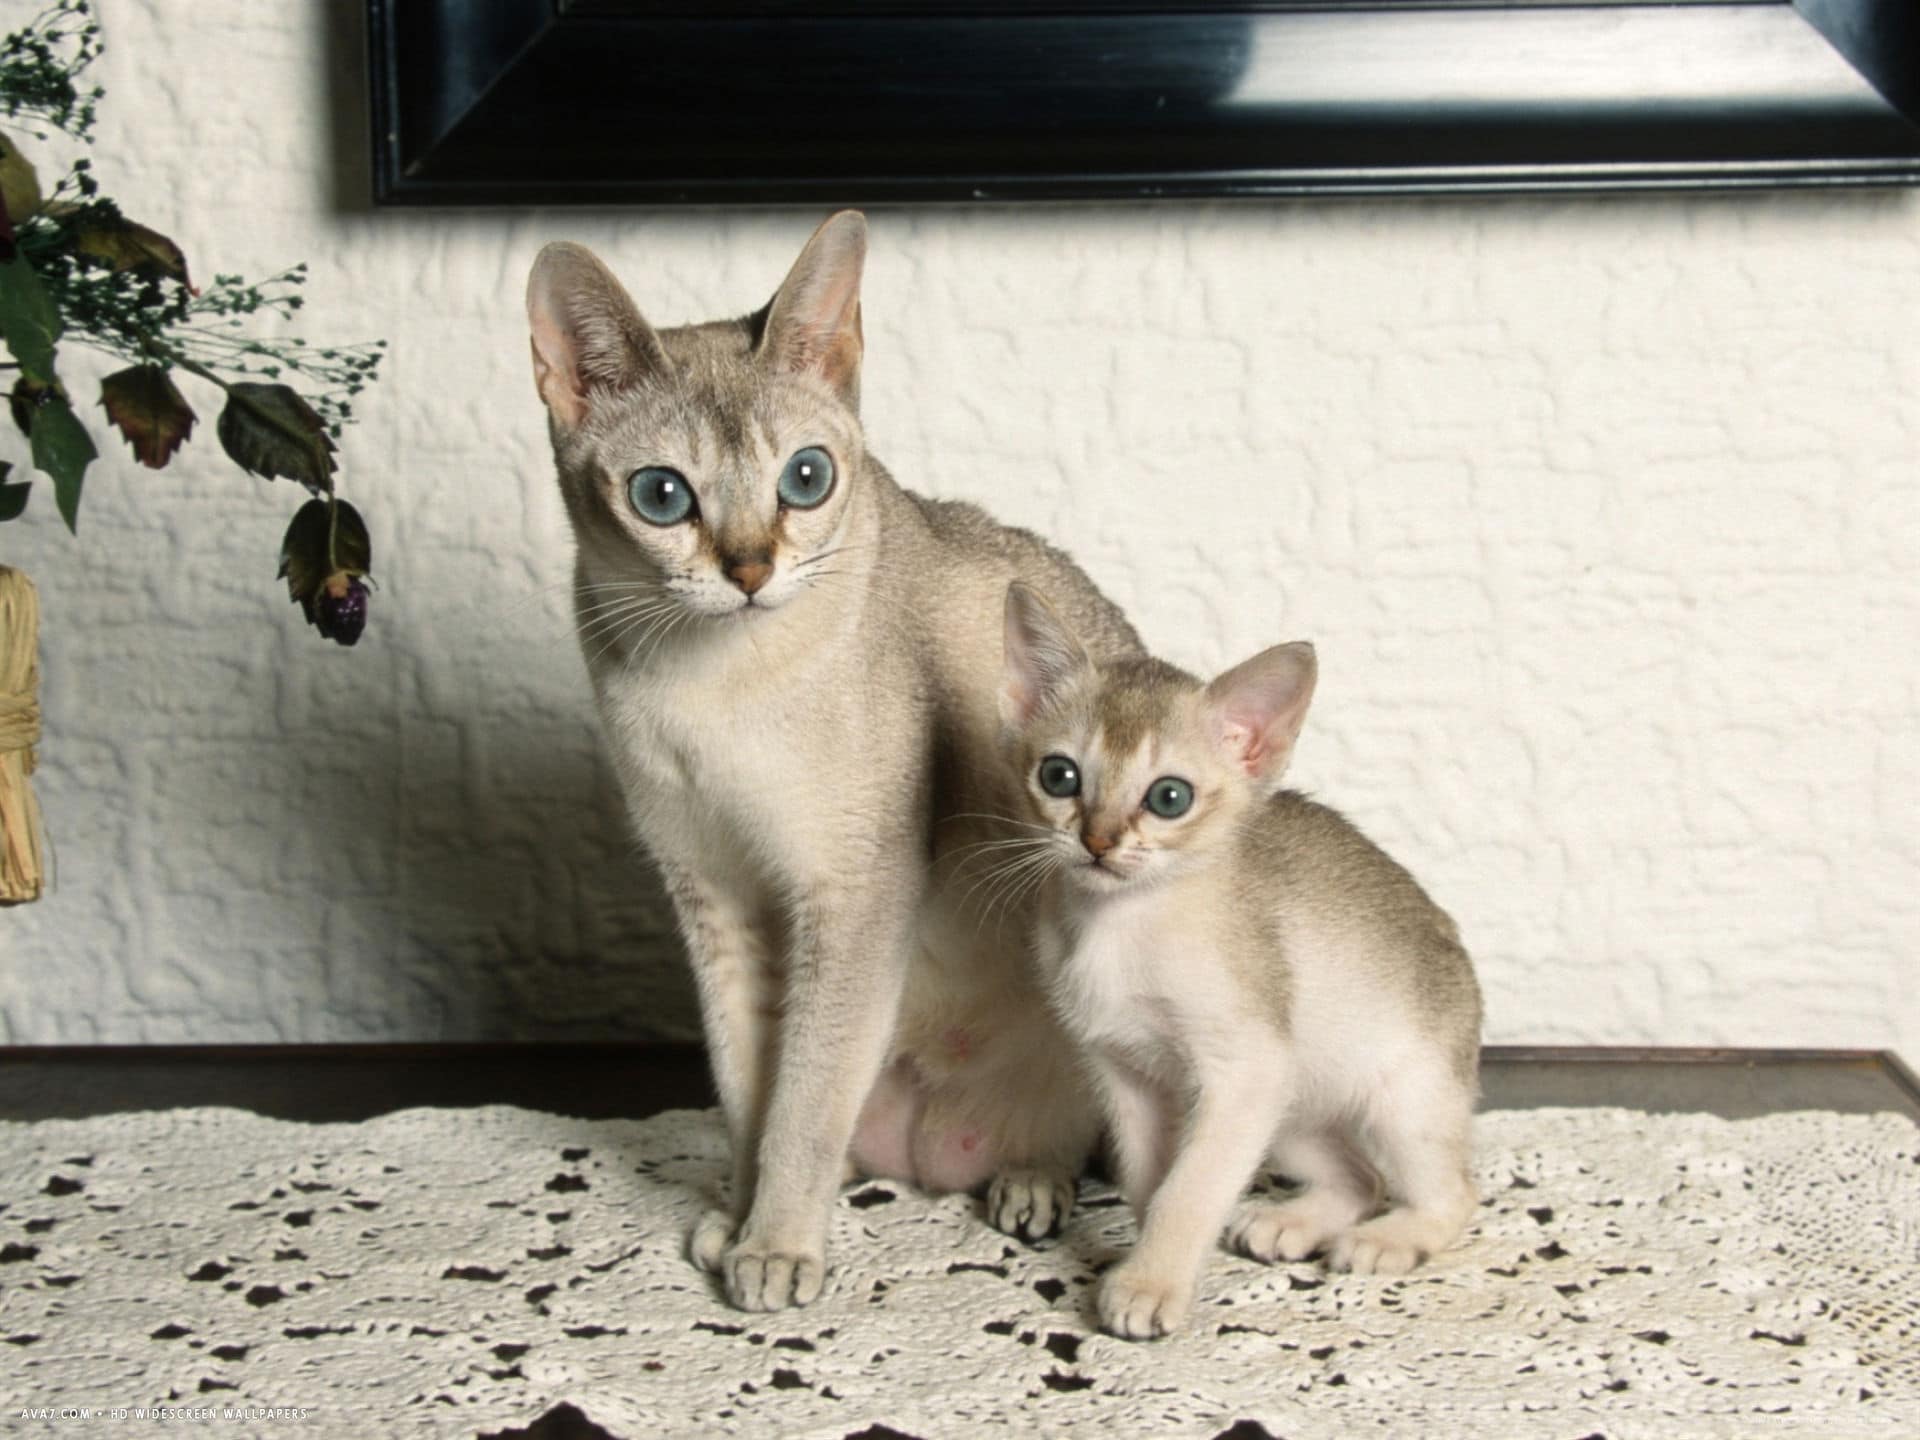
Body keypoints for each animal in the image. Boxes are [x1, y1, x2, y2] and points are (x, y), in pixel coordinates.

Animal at [526, 216, 1136, 1320]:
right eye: (661, 495)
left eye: (806, 479)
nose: (751, 570)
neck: (709, 693)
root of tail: (939, 1154)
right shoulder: (715, 896)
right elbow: (747, 1086)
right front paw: (741, 1215)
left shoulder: (849, 891)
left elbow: (805, 1094)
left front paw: (776, 1247)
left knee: (1078, 1134)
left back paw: (1030, 1181)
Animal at [998, 583, 1474, 1344]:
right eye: (1059, 775)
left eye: (1169, 797)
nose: (1099, 840)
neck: (1121, 932)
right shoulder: (1129, 1074)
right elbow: (1150, 1181)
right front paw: (1150, 1264)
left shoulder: (1242, 1072)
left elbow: (1188, 1189)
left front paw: (1150, 1285)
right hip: (1292, 1113)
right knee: (1361, 1179)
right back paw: (1290, 1224)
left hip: (1400, 1102)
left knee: (1454, 1193)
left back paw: (1388, 1239)